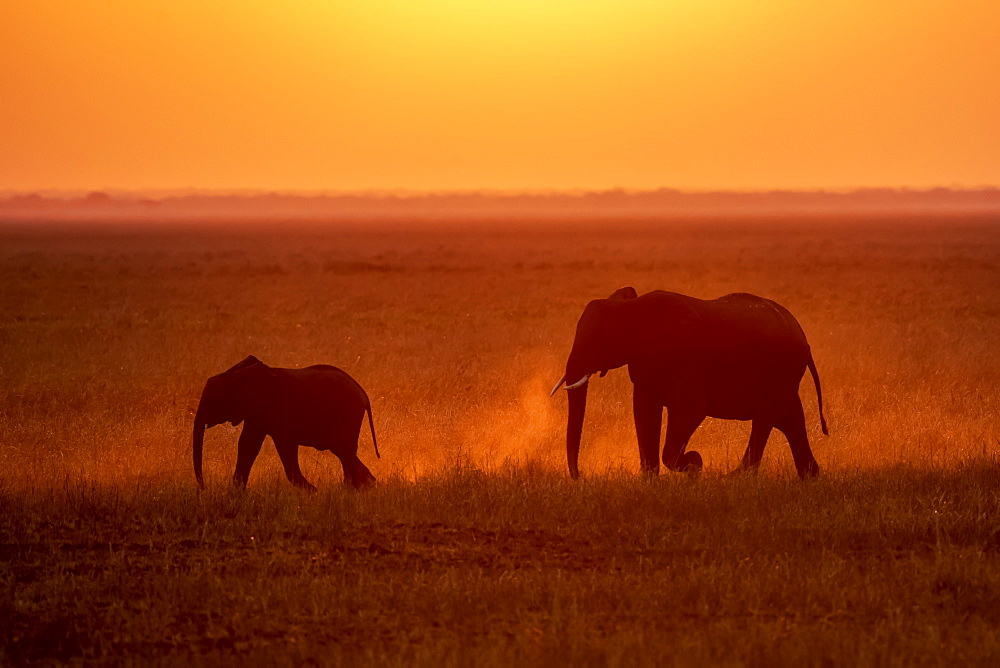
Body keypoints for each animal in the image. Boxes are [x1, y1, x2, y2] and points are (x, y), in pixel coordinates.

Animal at [191, 354, 378, 490]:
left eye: (213, 402)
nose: (203, 487)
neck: (239, 374)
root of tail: (364, 394)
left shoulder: (276, 409)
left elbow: (283, 446)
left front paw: (313, 492)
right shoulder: (257, 412)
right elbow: (247, 445)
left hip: (349, 415)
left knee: (345, 451)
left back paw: (352, 489)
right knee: (342, 450)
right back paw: (367, 485)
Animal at [548, 288, 828, 480]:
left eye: (598, 340)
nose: (580, 477)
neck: (633, 308)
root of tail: (803, 337)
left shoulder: (685, 358)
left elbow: (691, 409)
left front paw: (694, 465)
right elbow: (644, 413)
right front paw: (650, 481)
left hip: (780, 369)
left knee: (767, 419)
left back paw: (735, 478)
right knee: (789, 419)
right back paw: (809, 476)